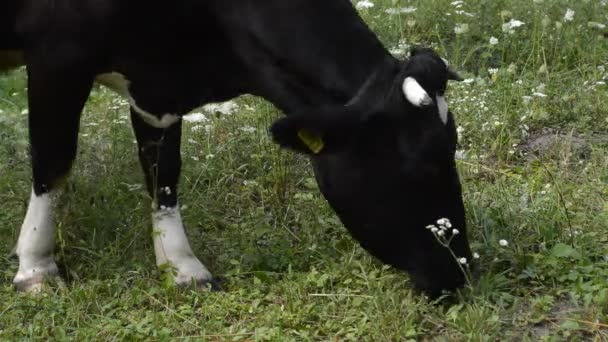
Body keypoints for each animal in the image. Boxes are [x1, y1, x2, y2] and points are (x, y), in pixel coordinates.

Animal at [0, 0, 472, 298]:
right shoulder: (58, 57)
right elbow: (53, 162)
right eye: (421, 166)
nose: (459, 269)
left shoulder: (158, 85)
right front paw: (36, 267)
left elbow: (164, 171)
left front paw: (182, 268)